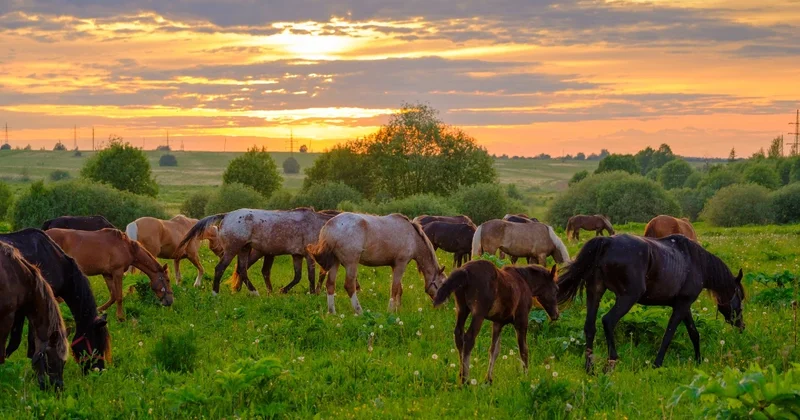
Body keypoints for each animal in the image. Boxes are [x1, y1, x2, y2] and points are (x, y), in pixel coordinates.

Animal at [178, 208, 334, 296]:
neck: (318, 224)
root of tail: (226, 215)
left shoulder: (297, 255)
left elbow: (298, 276)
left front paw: (283, 291)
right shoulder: (309, 255)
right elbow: (311, 276)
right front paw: (312, 293)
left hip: (244, 249)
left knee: (242, 269)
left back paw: (254, 293)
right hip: (232, 250)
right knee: (220, 268)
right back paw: (215, 293)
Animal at [307, 212, 446, 314]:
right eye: (442, 284)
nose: (443, 306)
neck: (412, 236)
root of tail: (329, 226)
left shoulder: (394, 266)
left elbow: (399, 289)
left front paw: (398, 309)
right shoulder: (401, 264)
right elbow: (394, 288)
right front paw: (391, 310)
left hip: (335, 262)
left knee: (330, 285)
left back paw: (332, 313)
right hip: (351, 263)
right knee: (349, 286)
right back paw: (360, 312)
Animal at [557, 234, 745, 373]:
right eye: (740, 297)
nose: (741, 326)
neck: (697, 262)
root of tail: (607, 242)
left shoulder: (683, 306)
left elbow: (694, 333)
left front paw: (698, 361)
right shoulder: (681, 306)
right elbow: (668, 335)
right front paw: (657, 364)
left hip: (595, 292)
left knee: (590, 327)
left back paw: (590, 368)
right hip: (627, 297)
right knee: (608, 321)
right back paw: (612, 361)